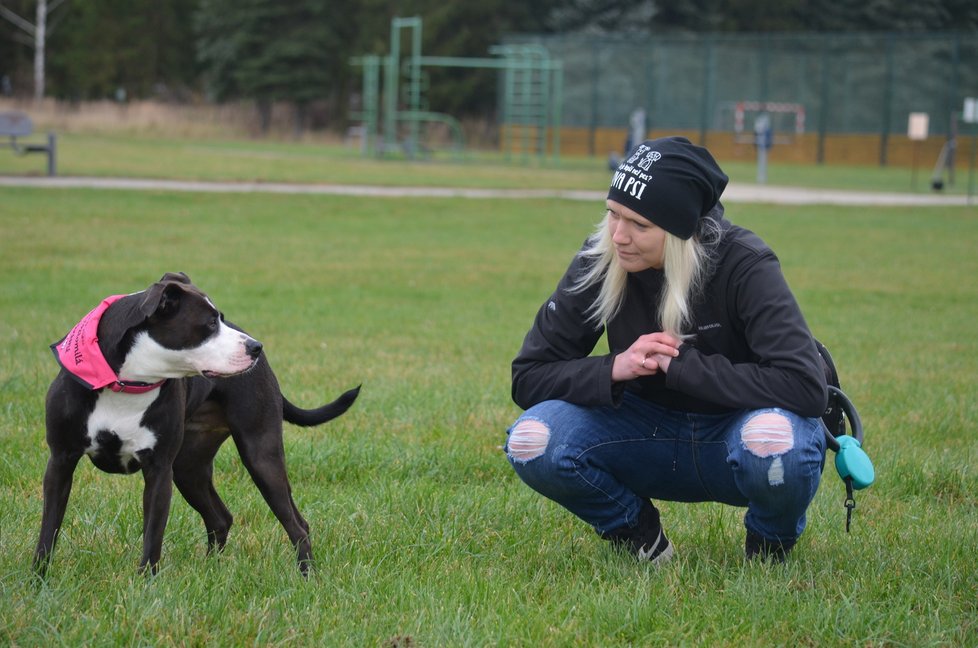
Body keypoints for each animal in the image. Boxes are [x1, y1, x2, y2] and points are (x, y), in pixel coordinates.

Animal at [35, 270, 362, 576]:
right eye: (210, 324)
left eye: (221, 319)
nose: (256, 346)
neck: (126, 383)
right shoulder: (61, 461)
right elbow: (48, 531)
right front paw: (38, 582)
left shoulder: (159, 471)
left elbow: (152, 538)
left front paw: (145, 586)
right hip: (189, 467)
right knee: (220, 518)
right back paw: (210, 571)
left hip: (260, 455)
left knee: (296, 524)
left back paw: (307, 576)